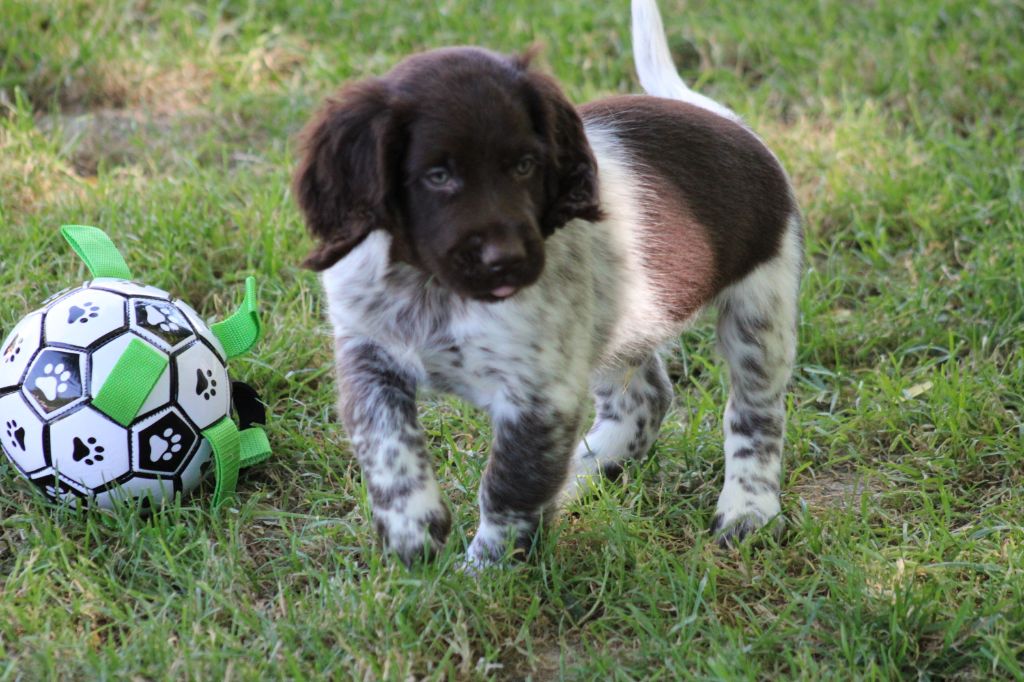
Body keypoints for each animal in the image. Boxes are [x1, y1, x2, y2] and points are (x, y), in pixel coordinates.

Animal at [292, 0, 802, 561]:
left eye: (525, 165)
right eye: (438, 176)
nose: (507, 260)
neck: (432, 289)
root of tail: (730, 123)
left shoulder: (538, 395)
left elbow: (510, 486)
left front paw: (488, 569)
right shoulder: (368, 354)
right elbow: (385, 445)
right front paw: (412, 531)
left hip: (759, 310)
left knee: (755, 415)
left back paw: (749, 509)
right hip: (623, 319)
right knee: (644, 400)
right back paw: (585, 472)